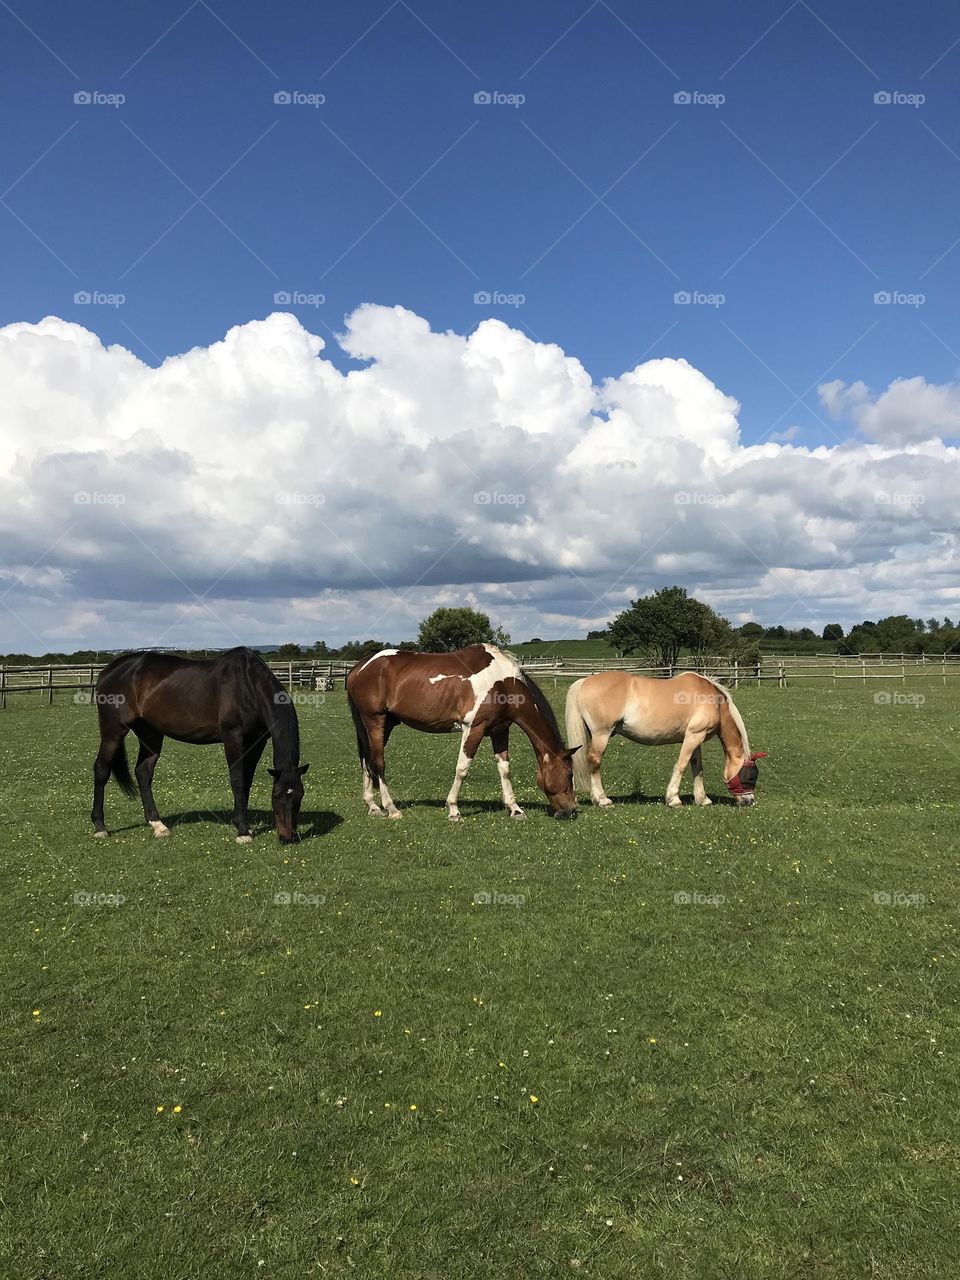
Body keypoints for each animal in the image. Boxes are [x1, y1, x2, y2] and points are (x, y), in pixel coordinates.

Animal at [89, 645, 308, 844]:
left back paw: (157, 825)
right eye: (276, 796)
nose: (287, 837)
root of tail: (108, 671)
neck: (249, 686)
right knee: (101, 769)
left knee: (143, 772)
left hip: (150, 733)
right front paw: (242, 831)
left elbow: (247, 781)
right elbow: (237, 781)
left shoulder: (257, 740)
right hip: (113, 732)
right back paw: (100, 826)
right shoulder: (233, 737)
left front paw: (244, 823)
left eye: (299, 796)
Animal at [350, 645, 583, 824]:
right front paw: (453, 810)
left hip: (384, 724)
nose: (571, 810)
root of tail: (359, 667)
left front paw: (515, 809)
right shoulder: (474, 728)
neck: (503, 683)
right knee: (378, 762)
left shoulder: (500, 731)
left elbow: (505, 770)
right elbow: (462, 769)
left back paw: (373, 806)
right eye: (569, 774)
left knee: (367, 761)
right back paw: (391, 808)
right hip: (375, 720)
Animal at [563, 670, 768, 808]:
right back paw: (602, 800)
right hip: (601, 735)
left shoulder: (696, 738)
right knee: (594, 763)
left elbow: (697, 769)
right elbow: (682, 765)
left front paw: (702, 799)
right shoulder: (694, 735)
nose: (750, 801)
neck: (714, 701)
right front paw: (673, 799)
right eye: (751, 776)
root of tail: (585, 680)